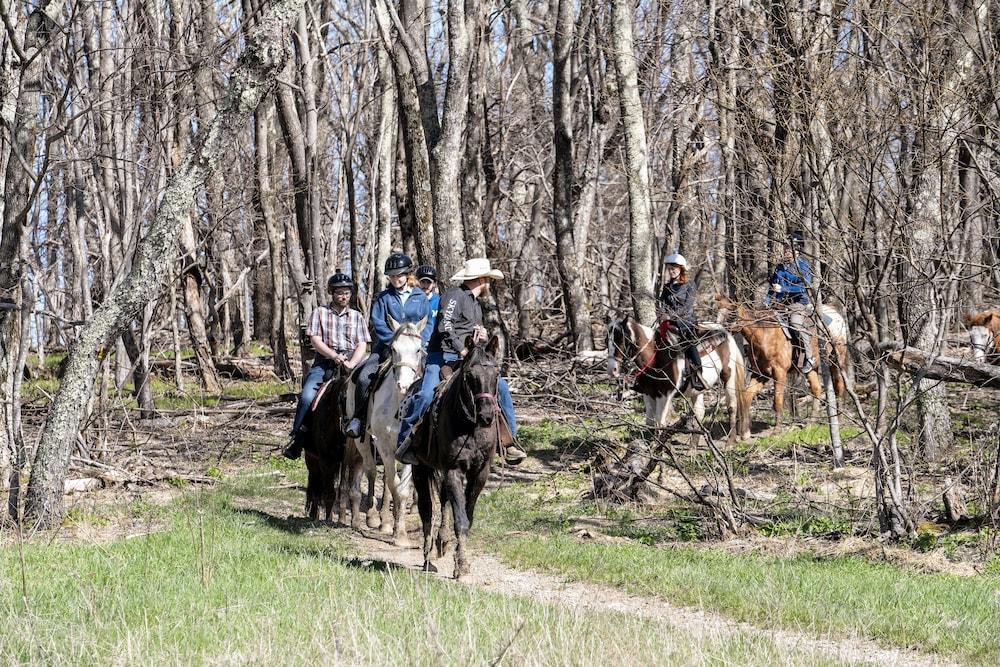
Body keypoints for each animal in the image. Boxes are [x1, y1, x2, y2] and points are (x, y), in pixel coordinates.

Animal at [302, 370, 350, 520]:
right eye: (343, 398)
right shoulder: (326, 460)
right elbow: (329, 493)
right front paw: (327, 520)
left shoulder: (345, 462)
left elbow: (343, 491)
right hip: (311, 458)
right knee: (315, 484)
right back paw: (313, 515)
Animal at [340, 320, 426, 548]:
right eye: (393, 349)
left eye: (419, 350)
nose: (404, 385)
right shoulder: (384, 446)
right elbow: (392, 484)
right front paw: (392, 527)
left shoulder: (407, 450)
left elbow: (401, 489)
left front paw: (400, 533)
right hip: (363, 441)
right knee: (371, 471)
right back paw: (373, 517)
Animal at [408, 336, 504, 576]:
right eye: (470, 376)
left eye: (496, 374)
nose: (487, 416)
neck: (471, 427)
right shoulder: (454, 470)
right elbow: (460, 519)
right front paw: (461, 565)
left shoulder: (480, 473)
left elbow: (467, 517)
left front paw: (459, 559)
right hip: (419, 468)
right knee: (426, 509)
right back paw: (427, 559)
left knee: (442, 500)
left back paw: (442, 541)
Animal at [604, 314, 752, 444]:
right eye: (607, 341)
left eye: (620, 339)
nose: (612, 370)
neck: (655, 357)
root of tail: (725, 332)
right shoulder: (648, 393)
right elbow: (650, 423)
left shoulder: (664, 394)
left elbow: (660, 423)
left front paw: (660, 448)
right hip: (697, 389)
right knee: (699, 412)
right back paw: (693, 449)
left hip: (728, 376)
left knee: (732, 406)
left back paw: (730, 442)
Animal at [716, 294, 848, 430]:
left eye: (732, 313)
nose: (718, 334)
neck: (765, 335)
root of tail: (836, 315)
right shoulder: (761, 374)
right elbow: (747, 396)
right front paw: (745, 429)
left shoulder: (780, 373)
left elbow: (777, 400)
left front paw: (777, 429)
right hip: (813, 368)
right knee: (816, 389)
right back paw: (811, 422)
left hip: (836, 360)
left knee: (839, 386)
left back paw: (839, 420)